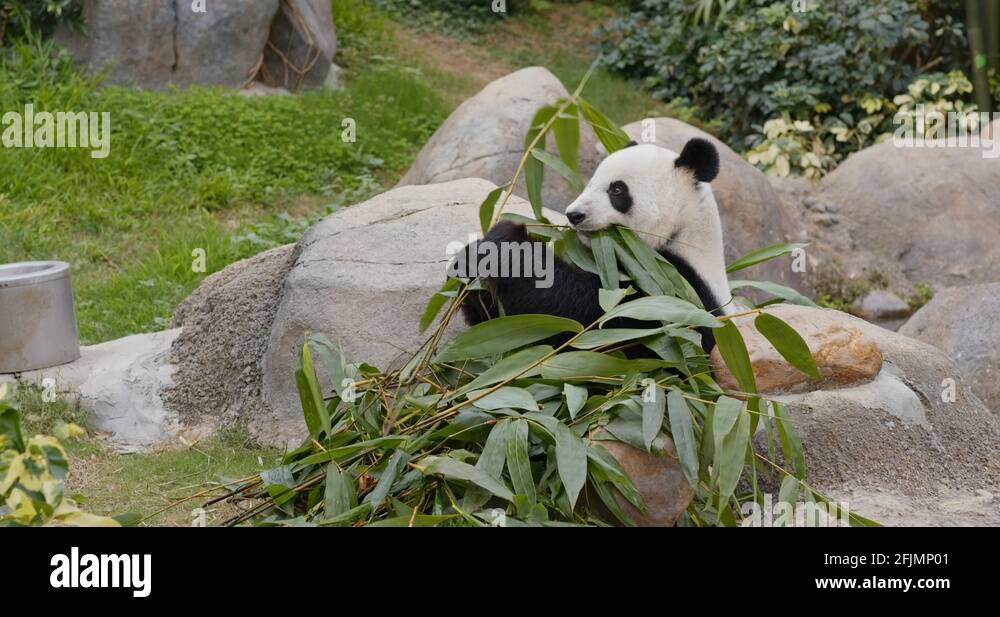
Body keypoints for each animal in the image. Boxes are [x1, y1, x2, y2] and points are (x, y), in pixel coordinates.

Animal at [456, 137, 734, 353]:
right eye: (589, 184)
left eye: (617, 190)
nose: (573, 215)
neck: (681, 232)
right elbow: (500, 328)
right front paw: (469, 265)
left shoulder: (679, 295)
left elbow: (593, 317)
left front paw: (507, 243)